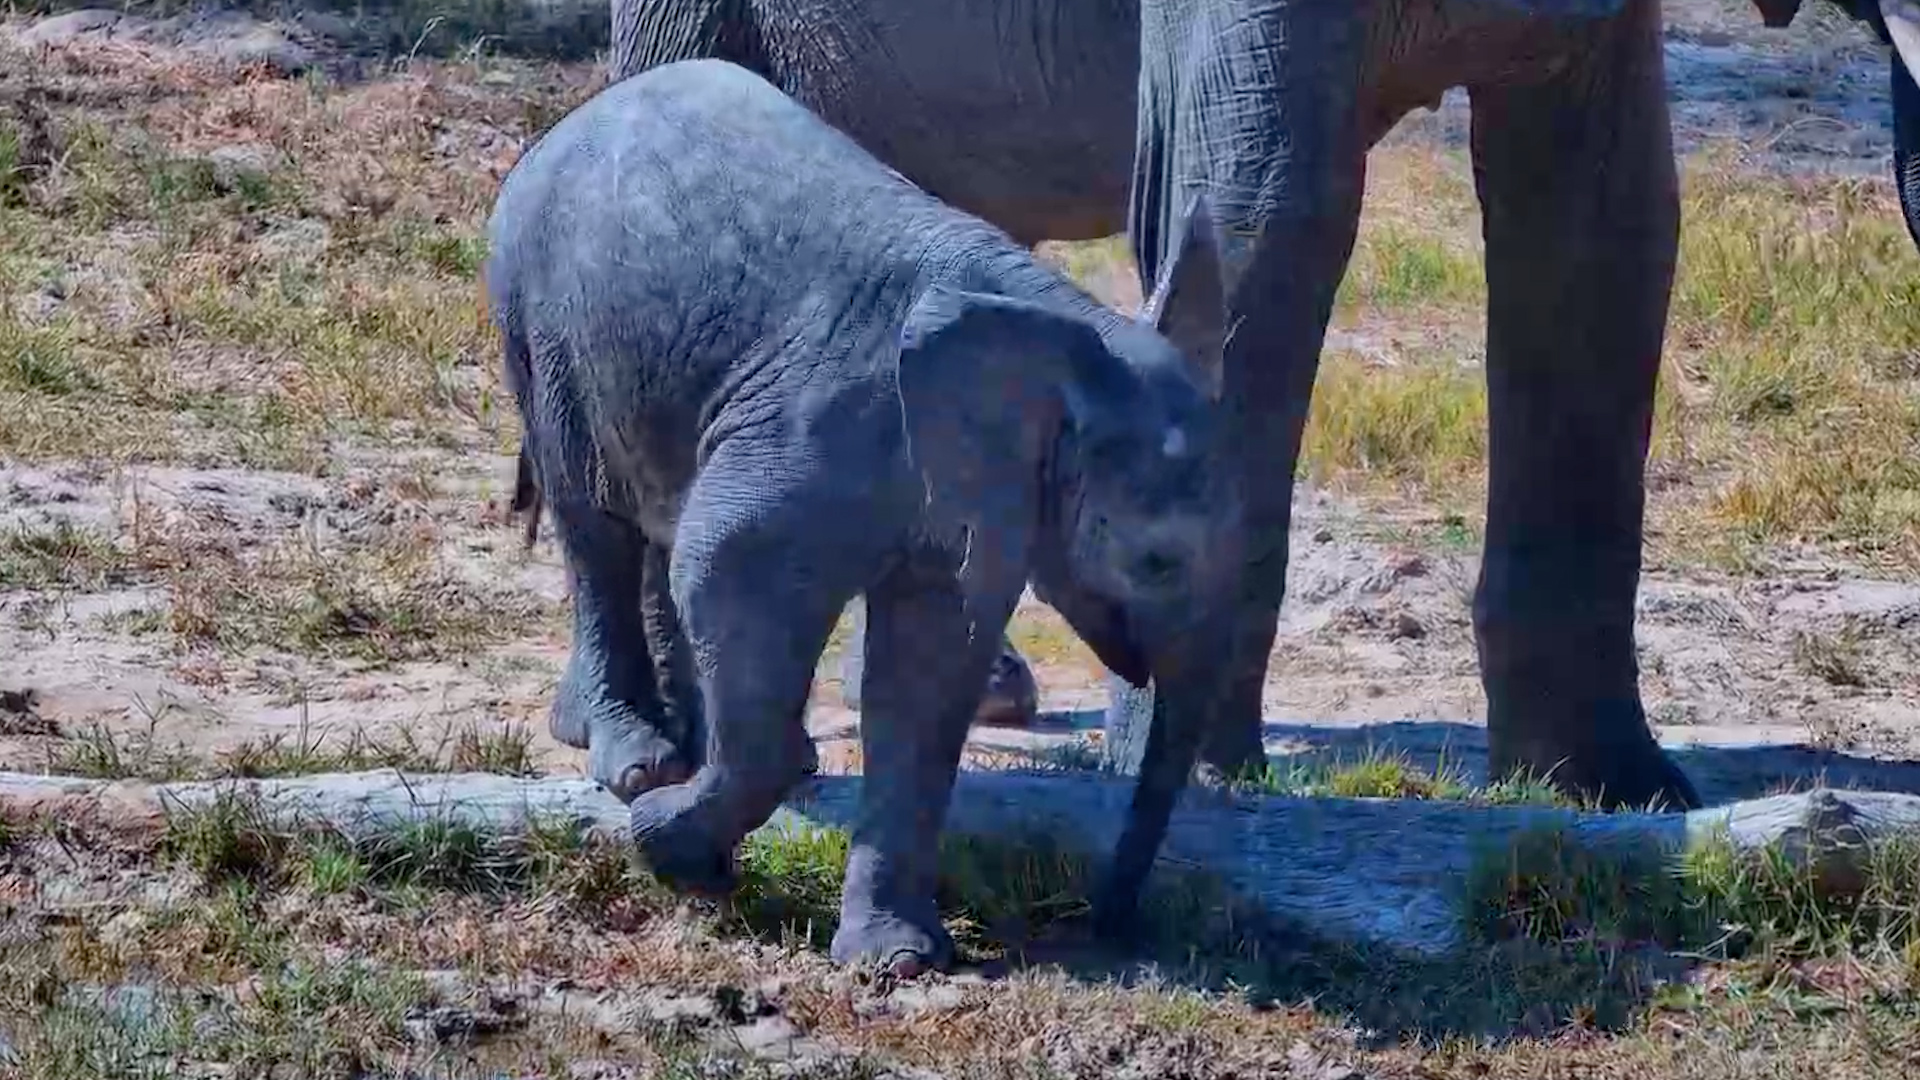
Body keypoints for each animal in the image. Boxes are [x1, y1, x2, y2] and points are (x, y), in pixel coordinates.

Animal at [486, 59, 1242, 969]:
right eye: (1156, 562)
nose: (1108, 923)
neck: (1064, 332)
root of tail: (559, 128)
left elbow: (926, 666)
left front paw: (896, 960)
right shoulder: (818, 424)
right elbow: (729, 566)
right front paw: (677, 853)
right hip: (541, 325)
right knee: (595, 526)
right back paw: (641, 763)